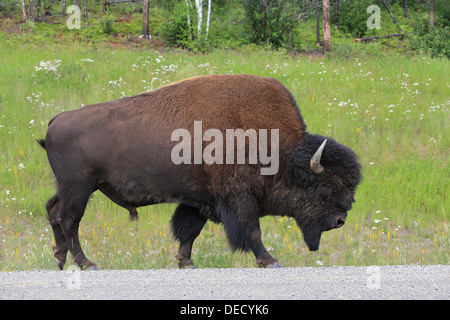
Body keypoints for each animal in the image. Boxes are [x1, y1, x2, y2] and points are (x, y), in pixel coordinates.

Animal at [38, 75, 362, 270]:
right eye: (325, 188)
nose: (340, 220)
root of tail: (55, 120)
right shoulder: (239, 197)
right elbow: (252, 230)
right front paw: (270, 260)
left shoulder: (201, 199)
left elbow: (189, 231)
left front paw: (186, 262)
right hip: (80, 188)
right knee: (69, 220)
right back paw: (87, 263)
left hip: (67, 188)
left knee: (53, 210)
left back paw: (60, 259)